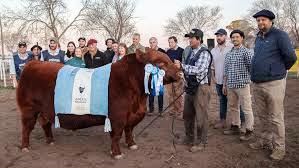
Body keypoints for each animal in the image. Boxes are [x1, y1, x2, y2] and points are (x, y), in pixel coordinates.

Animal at [17, 48, 183, 159]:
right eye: (160, 63)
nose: (181, 73)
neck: (138, 98)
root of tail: (33, 64)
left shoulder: (131, 116)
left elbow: (129, 131)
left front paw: (131, 145)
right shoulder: (117, 117)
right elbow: (116, 135)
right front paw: (117, 153)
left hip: (44, 110)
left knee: (44, 123)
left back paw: (50, 141)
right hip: (28, 109)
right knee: (26, 128)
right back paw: (25, 147)